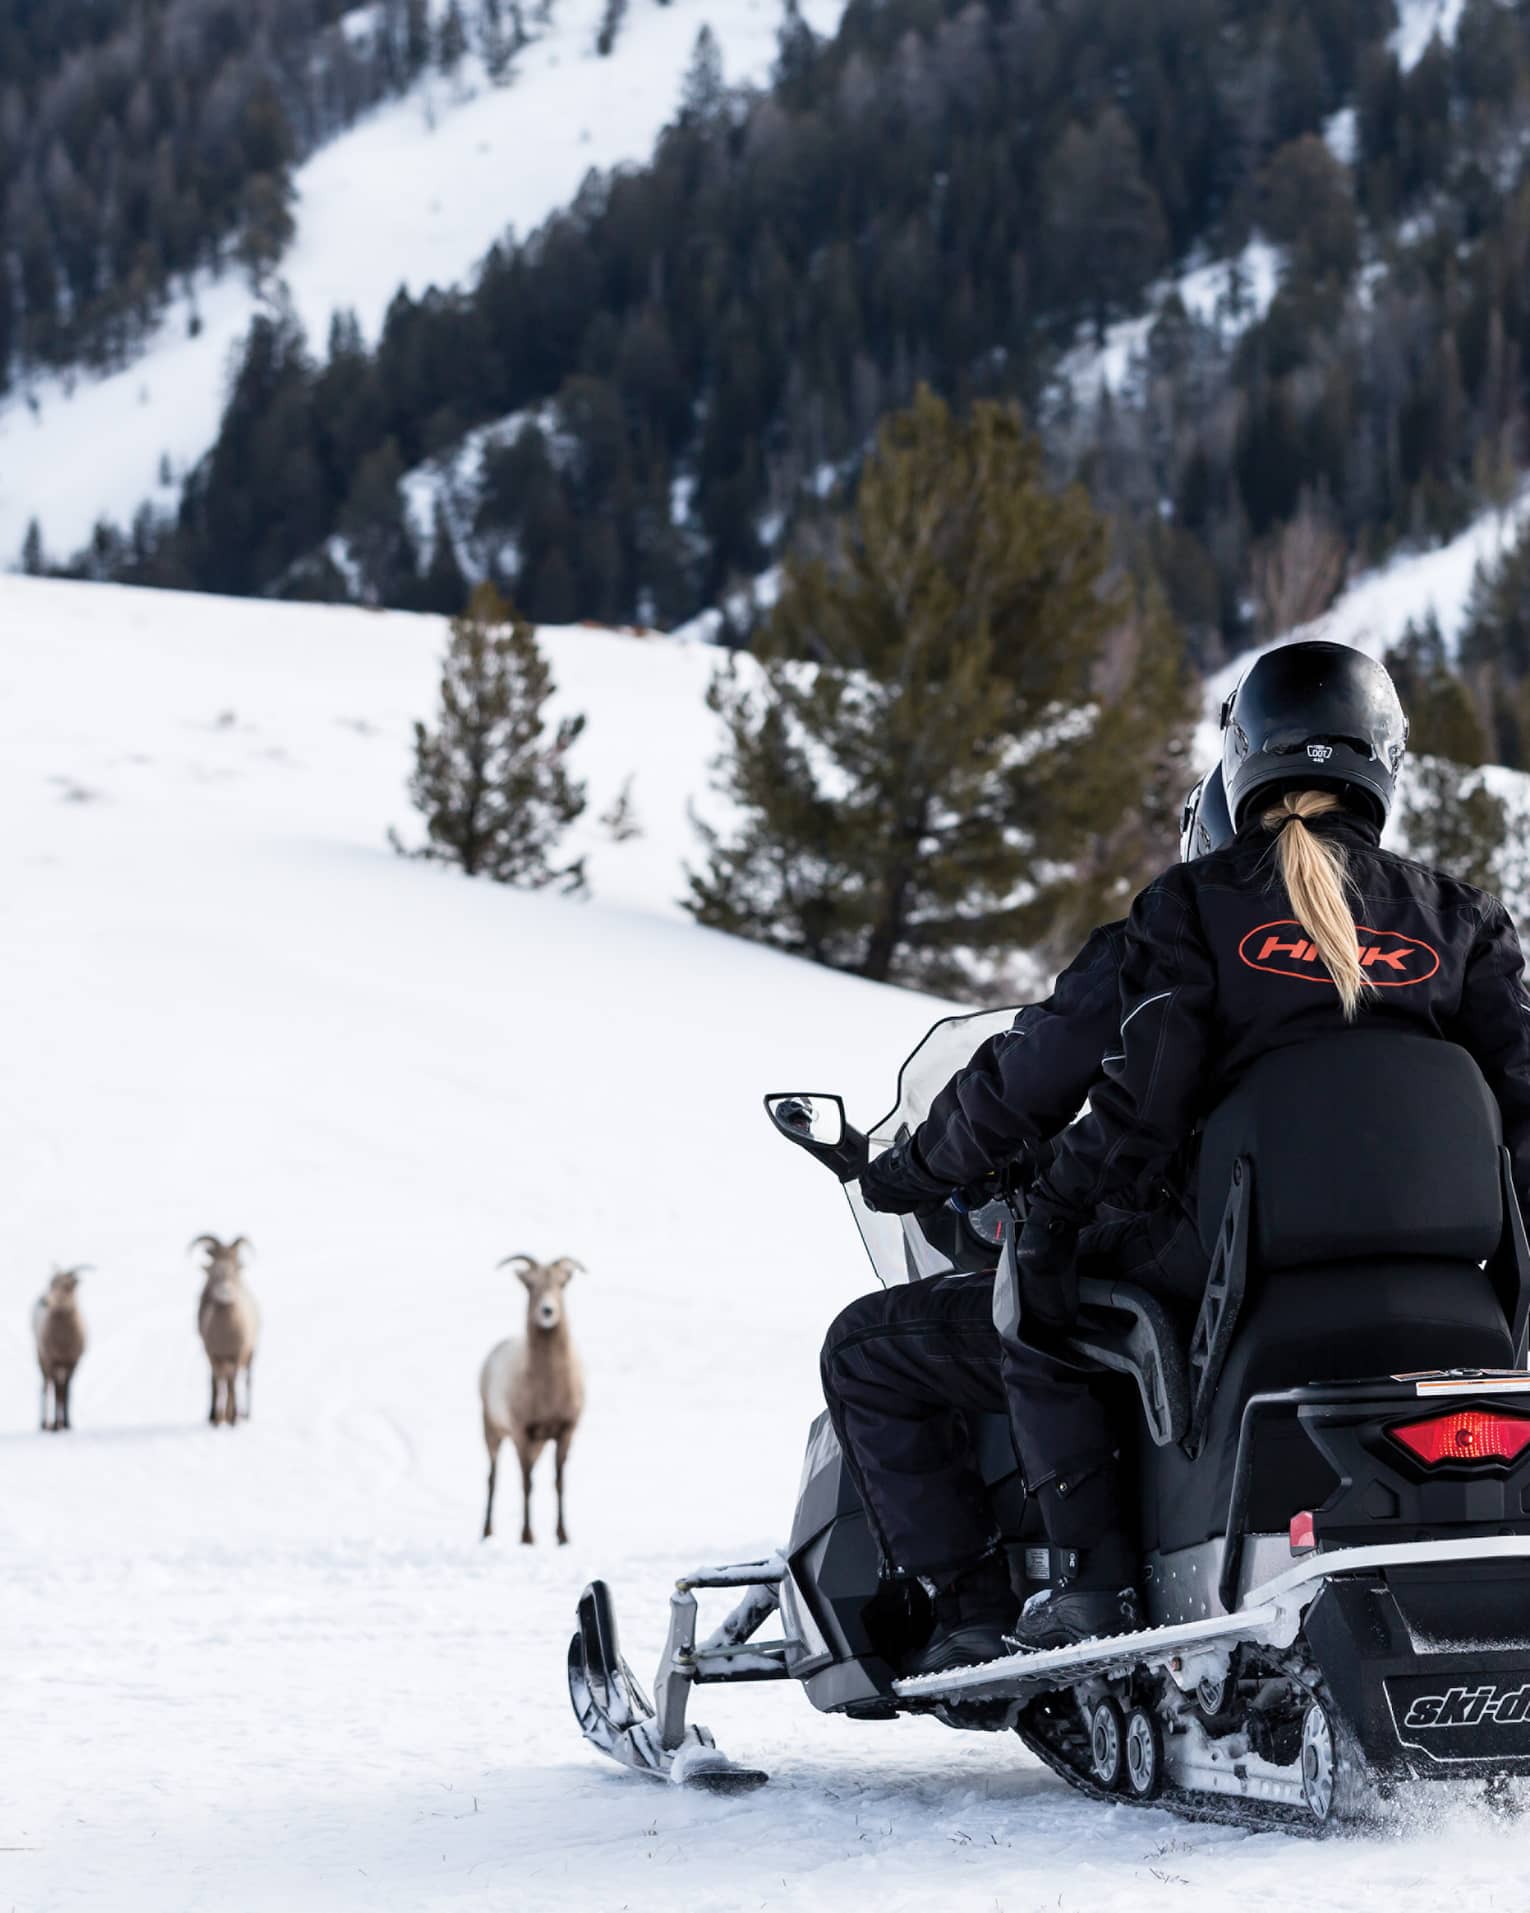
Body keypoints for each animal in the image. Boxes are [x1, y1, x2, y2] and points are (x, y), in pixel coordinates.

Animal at [34, 1266, 89, 1431]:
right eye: (51, 1284)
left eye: (67, 1286)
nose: (44, 1301)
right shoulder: (52, 1360)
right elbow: (57, 1390)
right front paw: (56, 1425)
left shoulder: (72, 1361)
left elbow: (66, 1391)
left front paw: (67, 1423)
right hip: (41, 1358)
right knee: (48, 1386)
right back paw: (46, 1424)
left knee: (59, 1388)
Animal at [190, 1235, 261, 1426]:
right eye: (214, 1272)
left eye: (235, 1271)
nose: (225, 1291)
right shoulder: (212, 1354)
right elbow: (215, 1382)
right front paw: (214, 1417)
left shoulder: (237, 1354)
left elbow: (232, 1383)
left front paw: (233, 1417)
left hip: (250, 1353)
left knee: (245, 1381)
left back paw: (243, 1414)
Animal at [479, 1254, 585, 1543]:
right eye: (530, 1285)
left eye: (561, 1283)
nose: (547, 1311)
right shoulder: (521, 1432)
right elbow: (526, 1483)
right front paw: (527, 1537)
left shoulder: (565, 1431)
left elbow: (559, 1482)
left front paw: (563, 1536)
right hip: (492, 1430)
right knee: (493, 1477)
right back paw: (486, 1532)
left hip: (537, 1443)